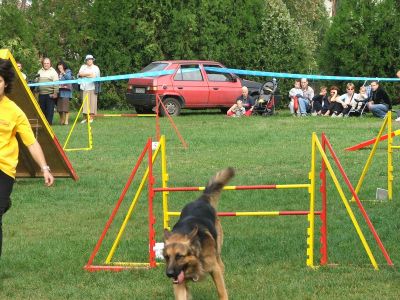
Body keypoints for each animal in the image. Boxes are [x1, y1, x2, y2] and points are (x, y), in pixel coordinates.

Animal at [163, 168, 234, 298]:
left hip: (218, 249)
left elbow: (221, 291)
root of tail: (201, 199)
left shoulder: (214, 269)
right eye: (166, 257)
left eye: (179, 256)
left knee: (221, 265)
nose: (169, 274)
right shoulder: (179, 282)